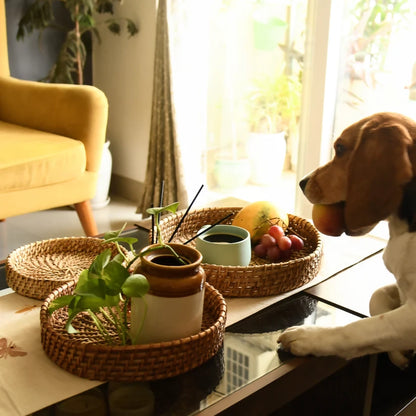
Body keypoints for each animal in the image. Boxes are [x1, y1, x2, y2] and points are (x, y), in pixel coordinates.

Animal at [278, 112, 416, 368]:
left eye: (340, 148)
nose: (302, 182)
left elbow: (362, 328)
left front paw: (309, 337)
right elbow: (376, 297)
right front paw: (399, 352)